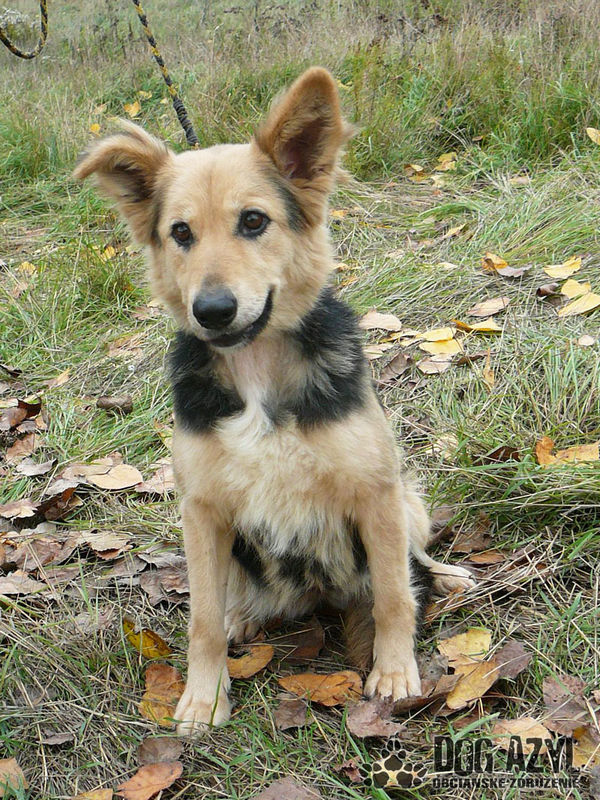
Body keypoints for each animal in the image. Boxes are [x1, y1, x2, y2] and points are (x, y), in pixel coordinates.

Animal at [75, 67, 474, 735]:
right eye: (180, 233)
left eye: (254, 222)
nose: (213, 311)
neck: (256, 370)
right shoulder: (202, 512)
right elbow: (202, 621)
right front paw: (203, 697)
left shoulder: (375, 493)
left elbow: (395, 594)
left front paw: (394, 674)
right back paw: (244, 615)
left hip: (405, 501)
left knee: (416, 559)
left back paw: (448, 577)